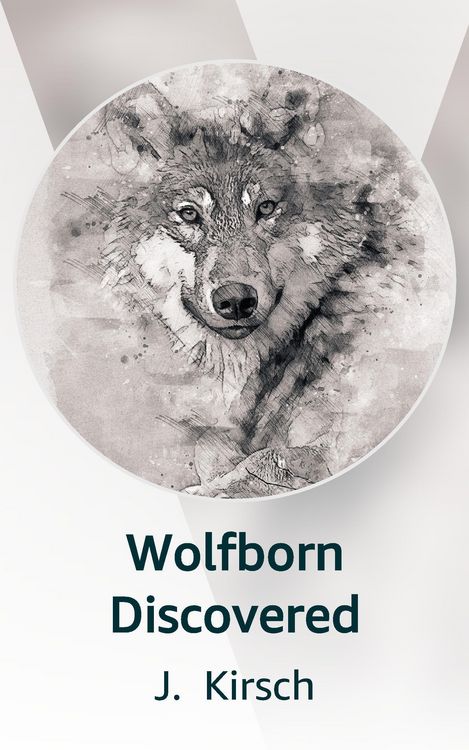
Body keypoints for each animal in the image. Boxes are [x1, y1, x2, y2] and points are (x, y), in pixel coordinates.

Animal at [74, 65, 426, 497]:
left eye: (266, 208)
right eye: (189, 214)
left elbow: (262, 462)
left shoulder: (339, 437)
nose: (236, 300)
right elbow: (219, 452)